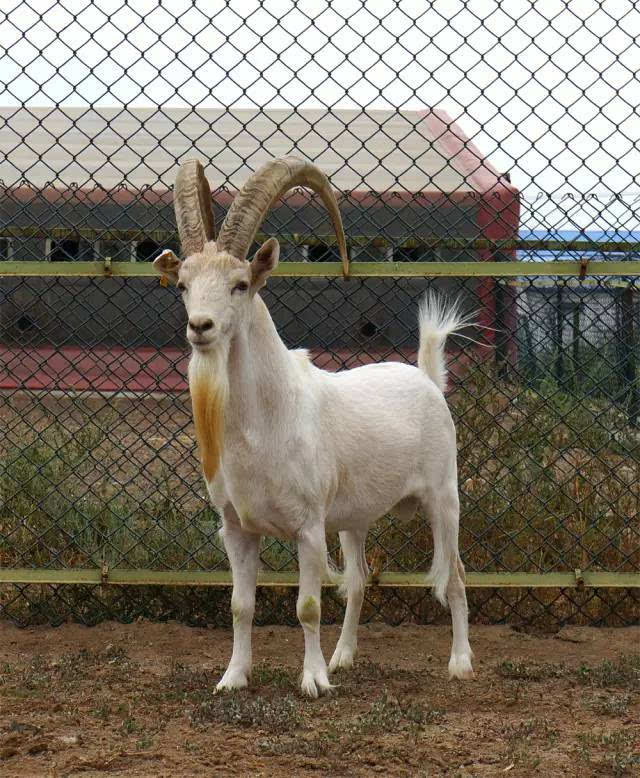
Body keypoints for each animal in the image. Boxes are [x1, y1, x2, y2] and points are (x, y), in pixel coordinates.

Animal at [155, 155, 476, 696]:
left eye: (240, 283)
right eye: (182, 285)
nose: (200, 327)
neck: (267, 421)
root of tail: (428, 379)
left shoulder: (307, 529)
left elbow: (306, 607)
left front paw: (313, 681)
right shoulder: (238, 530)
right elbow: (241, 606)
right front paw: (233, 678)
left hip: (443, 500)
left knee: (453, 574)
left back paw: (460, 663)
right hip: (352, 520)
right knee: (360, 577)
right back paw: (344, 656)